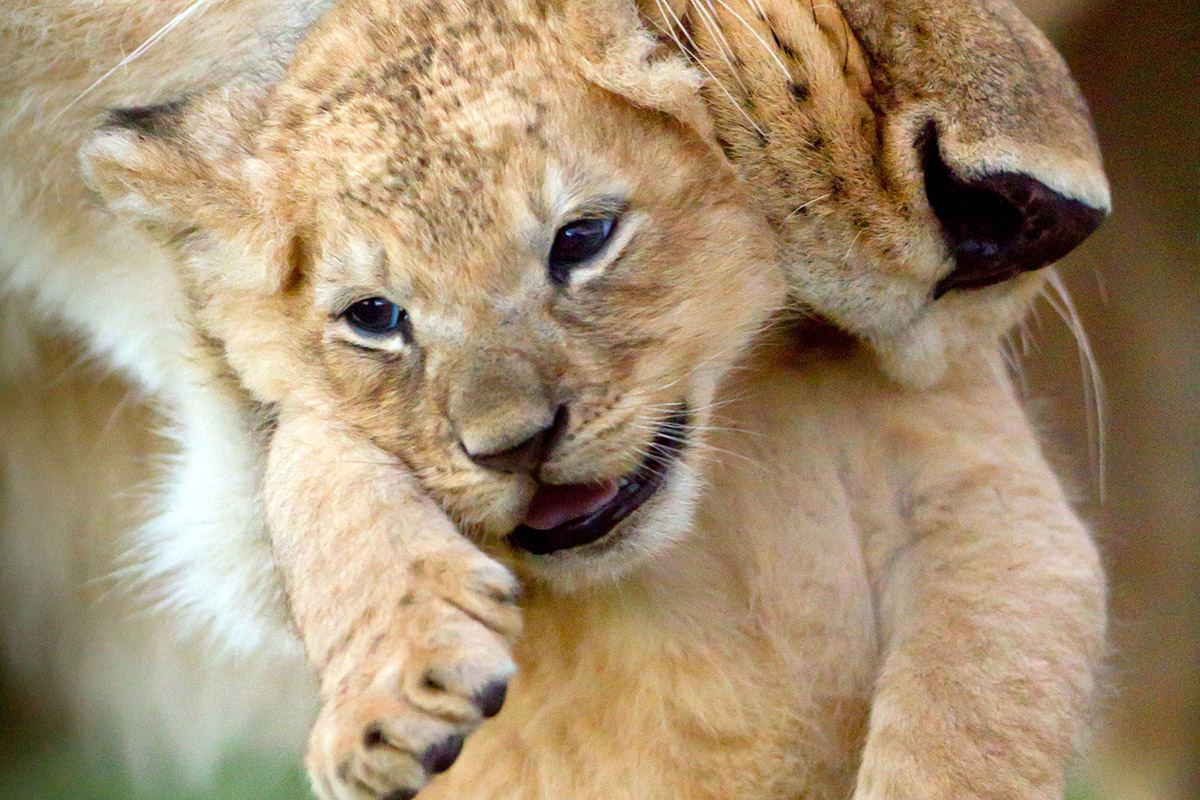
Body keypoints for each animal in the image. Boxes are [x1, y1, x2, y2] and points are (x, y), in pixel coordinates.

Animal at [3, 0, 1107, 798]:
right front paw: (398, 679)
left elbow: (974, 698)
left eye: (582, 240)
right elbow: (310, 459)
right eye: (375, 315)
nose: (1041, 217)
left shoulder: (977, 471)